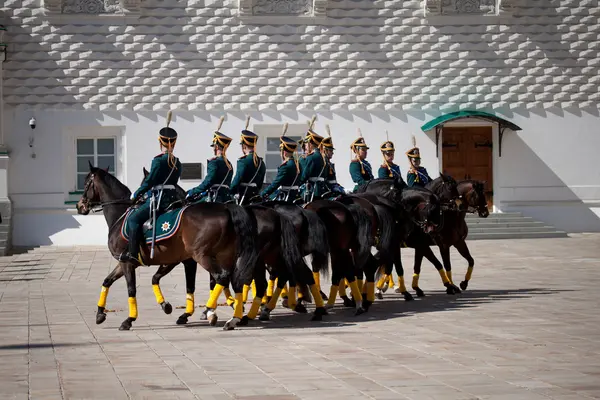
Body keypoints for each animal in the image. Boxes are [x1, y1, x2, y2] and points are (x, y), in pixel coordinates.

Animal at [77, 163, 258, 332]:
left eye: (86, 184)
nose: (80, 206)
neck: (120, 216)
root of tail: (225, 208)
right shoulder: (165, 261)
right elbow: (110, 281)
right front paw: (100, 313)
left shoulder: (128, 262)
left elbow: (131, 289)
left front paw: (129, 319)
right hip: (225, 256)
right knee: (233, 280)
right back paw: (233, 316)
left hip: (204, 256)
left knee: (222, 278)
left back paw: (213, 311)